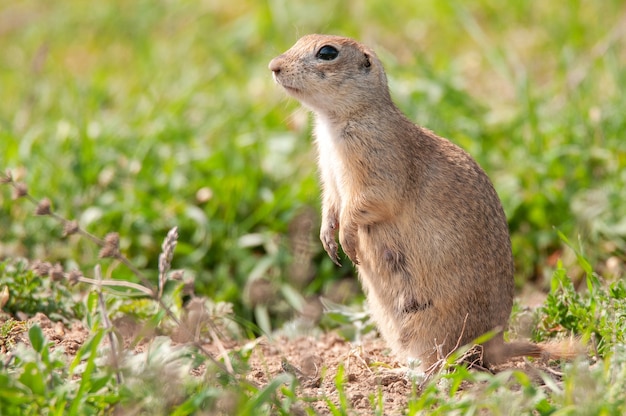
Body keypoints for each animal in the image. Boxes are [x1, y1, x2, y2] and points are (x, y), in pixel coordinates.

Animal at [268, 33, 576, 370]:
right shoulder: (329, 175)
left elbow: (367, 203)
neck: (338, 121)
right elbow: (331, 204)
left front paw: (347, 242)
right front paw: (327, 238)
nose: (273, 66)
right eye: (300, 39)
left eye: (327, 53)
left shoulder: (379, 166)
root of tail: (497, 345)